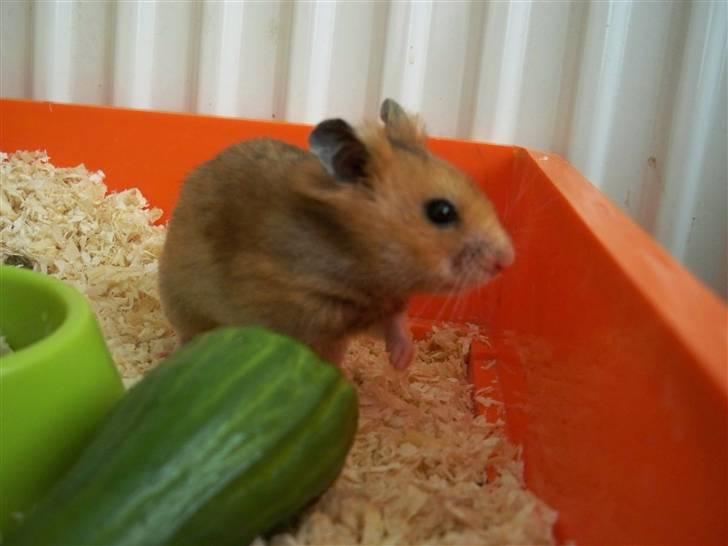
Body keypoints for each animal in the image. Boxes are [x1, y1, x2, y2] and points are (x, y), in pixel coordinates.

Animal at [158, 99, 514, 369]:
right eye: (441, 212)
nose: (507, 261)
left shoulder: (375, 311)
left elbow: (394, 327)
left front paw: (402, 362)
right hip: (183, 302)